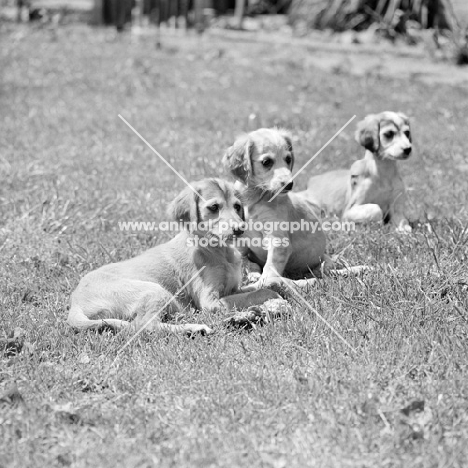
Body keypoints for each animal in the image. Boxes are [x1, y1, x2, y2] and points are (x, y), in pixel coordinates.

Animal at [67, 177, 280, 334]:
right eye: (213, 207)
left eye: (237, 206)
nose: (240, 229)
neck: (219, 251)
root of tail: (75, 302)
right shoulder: (210, 301)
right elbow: (255, 294)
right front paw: (274, 297)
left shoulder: (232, 288)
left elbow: (254, 288)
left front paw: (275, 285)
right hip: (154, 290)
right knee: (144, 326)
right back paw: (193, 329)